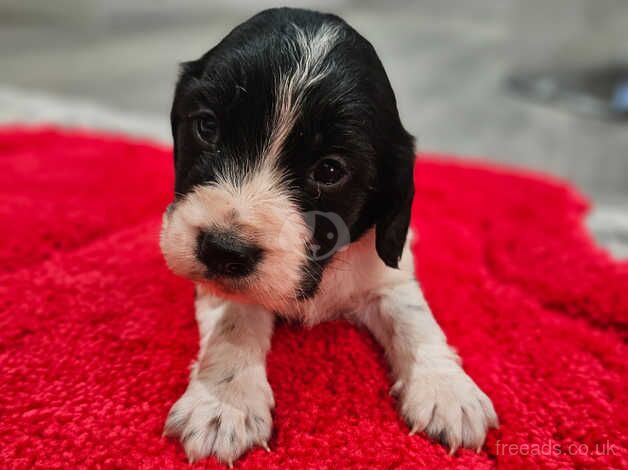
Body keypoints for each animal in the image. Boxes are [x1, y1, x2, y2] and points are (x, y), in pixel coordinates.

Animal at [161, 8, 496, 466]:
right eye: (208, 127)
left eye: (330, 170)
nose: (223, 249)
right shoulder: (216, 281)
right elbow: (236, 315)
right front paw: (223, 402)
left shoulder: (385, 275)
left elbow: (413, 316)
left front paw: (447, 388)